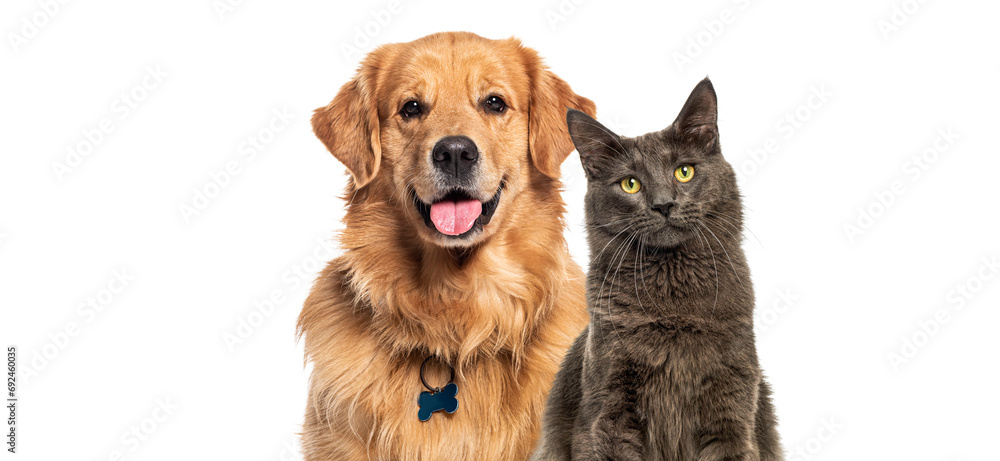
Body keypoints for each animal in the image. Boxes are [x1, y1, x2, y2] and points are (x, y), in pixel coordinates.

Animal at [536, 77, 784, 458]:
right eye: (630, 183)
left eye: (684, 172)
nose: (664, 204)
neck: (673, 302)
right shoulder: (608, 413)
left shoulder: (732, 408)